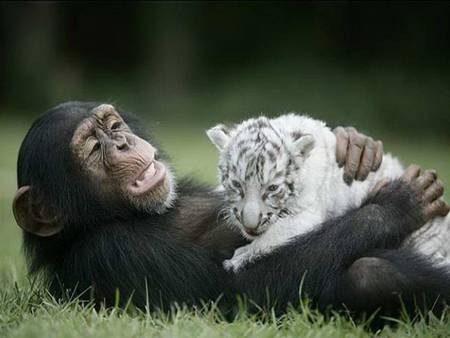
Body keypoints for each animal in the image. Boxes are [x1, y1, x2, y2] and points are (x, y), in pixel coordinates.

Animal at [13, 101, 450, 320]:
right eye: (94, 147)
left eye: (114, 126)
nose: (121, 143)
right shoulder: (112, 253)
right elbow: (243, 291)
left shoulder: (304, 211)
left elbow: (279, 233)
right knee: (369, 274)